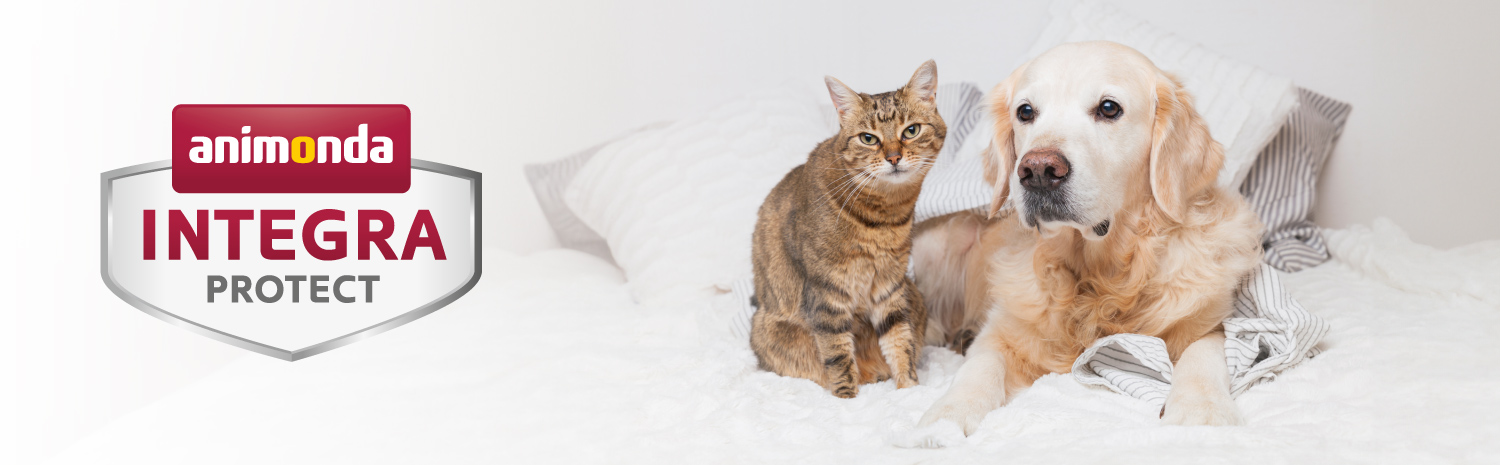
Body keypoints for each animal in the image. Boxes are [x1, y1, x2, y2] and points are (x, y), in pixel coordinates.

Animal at [750, 60, 948, 399]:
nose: (893, 157)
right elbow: (838, 354)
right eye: (868, 138)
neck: (883, 217)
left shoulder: (890, 284)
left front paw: (909, 389)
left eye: (911, 130)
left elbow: (900, 341)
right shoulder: (826, 292)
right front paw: (847, 398)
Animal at [912, 40, 1266, 435]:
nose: (1037, 170)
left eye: (1109, 108)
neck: (1100, 275)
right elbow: (978, 366)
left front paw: (1202, 410)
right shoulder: (1001, 330)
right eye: (1025, 112)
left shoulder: (1210, 322)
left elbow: (1203, 354)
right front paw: (948, 413)